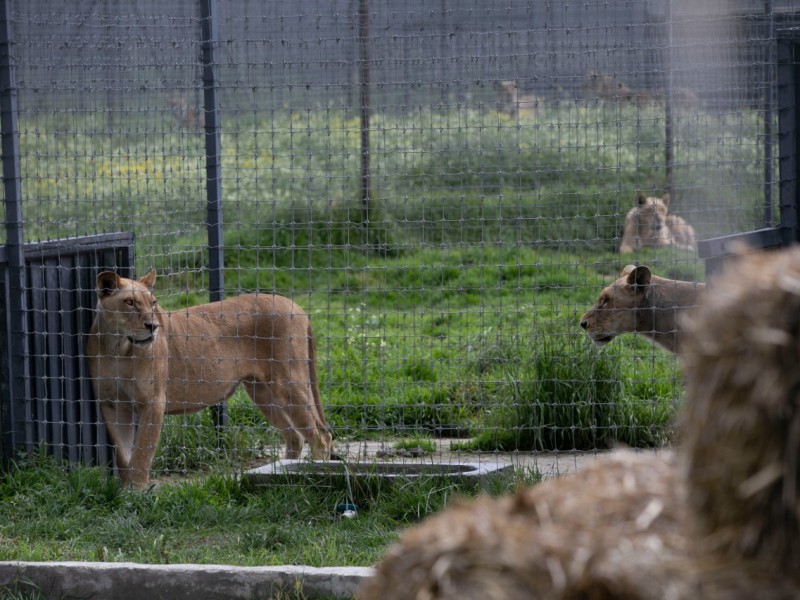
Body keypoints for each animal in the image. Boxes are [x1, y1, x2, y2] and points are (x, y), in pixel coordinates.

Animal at [87, 270, 334, 488]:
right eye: (129, 302)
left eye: (153, 303)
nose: (153, 326)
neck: (118, 347)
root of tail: (297, 307)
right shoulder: (112, 405)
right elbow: (123, 455)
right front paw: (123, 493)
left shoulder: (153, 402)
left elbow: (141, 454)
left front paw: (136, 493)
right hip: (262, 392)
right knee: (295, 436)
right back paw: (283, 471)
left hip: (287, 384)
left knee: (320, 436)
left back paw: (315, 474)